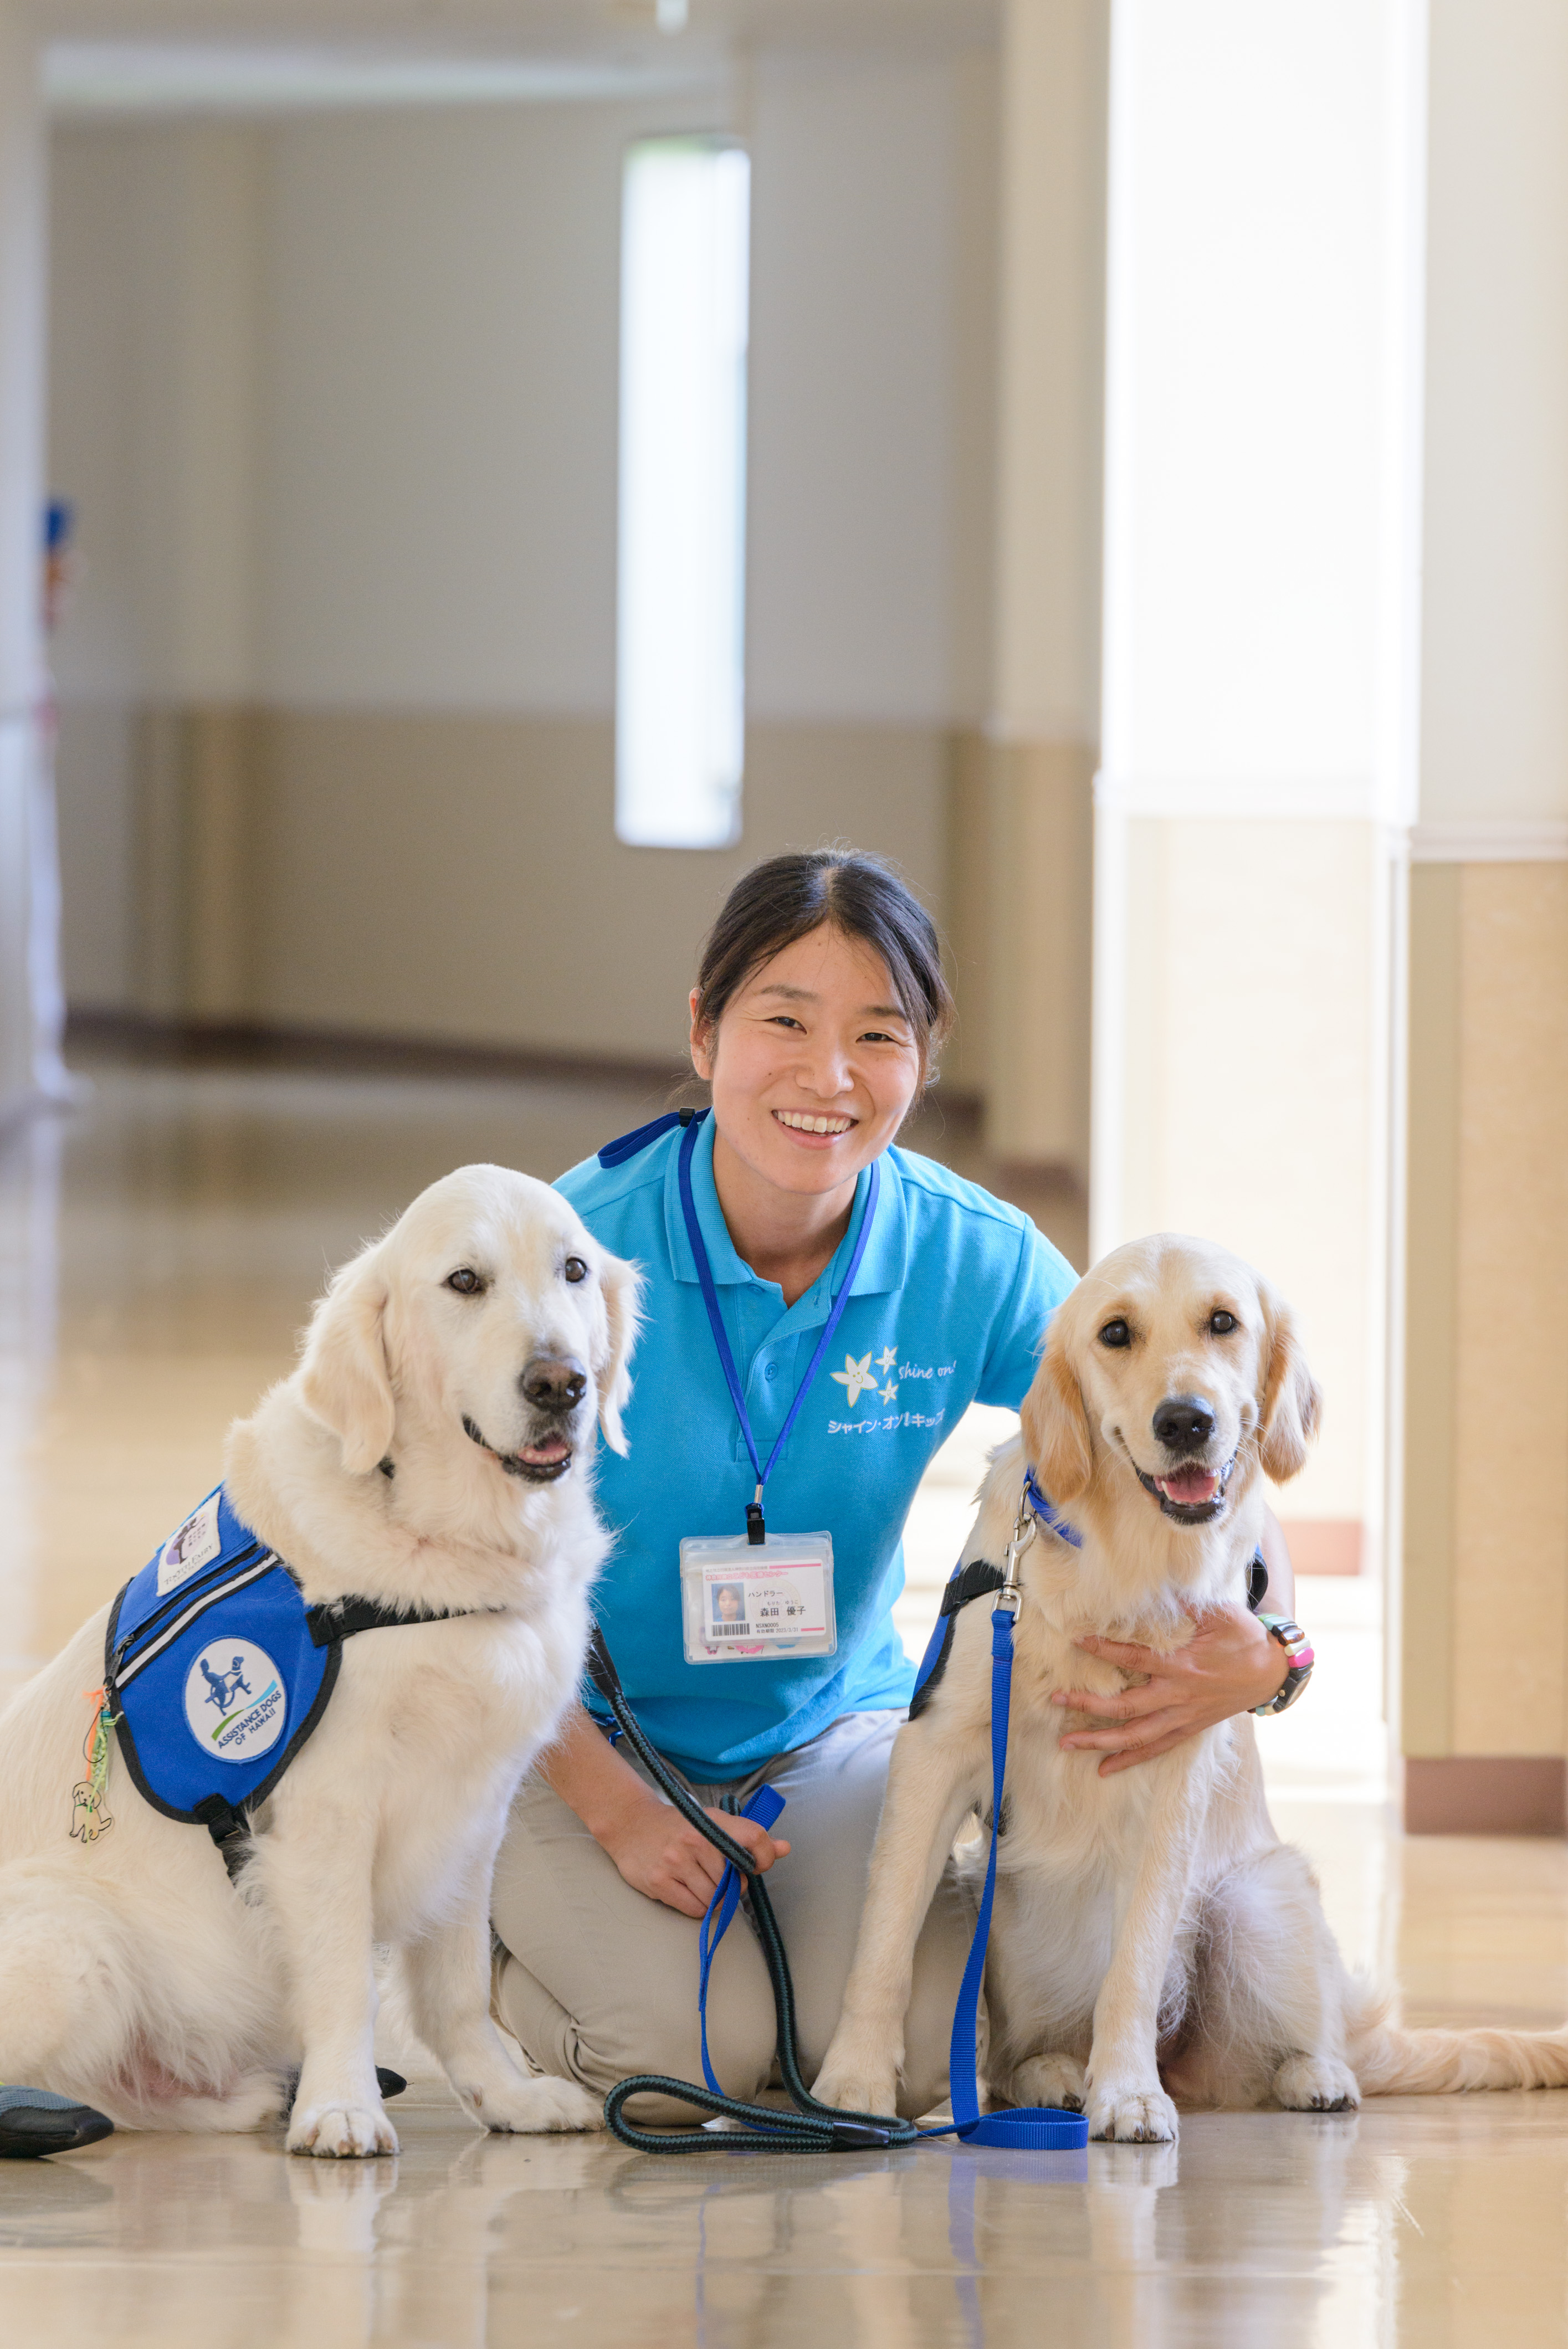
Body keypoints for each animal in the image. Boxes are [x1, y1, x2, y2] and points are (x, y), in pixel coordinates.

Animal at [0, 1165, 644, 2151]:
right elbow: (344, 1977)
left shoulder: (474, 1806)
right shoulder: (327, 1810)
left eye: (572, 1269)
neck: (443, 1540)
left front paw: (504, 2096)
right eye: (465, 1282)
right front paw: (342, 2106)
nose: (560, 1384)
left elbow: (459, 1989)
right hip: (75, 1942)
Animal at [818, 1240, 1568, 2142]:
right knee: (1006, 2061)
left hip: (1260, 1901)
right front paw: (852, 2080)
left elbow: (1135, 1965)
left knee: (1310, 2041)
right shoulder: (936, 1749)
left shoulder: (1170, 1777)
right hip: (1001, 1913)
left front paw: (1128, 2091)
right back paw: (1052, 2078)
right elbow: (883, 1938)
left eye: (1223, 1321)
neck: (1127, 1557)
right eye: (1114, 1333)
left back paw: (1312, 2075)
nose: (1186, 1421)